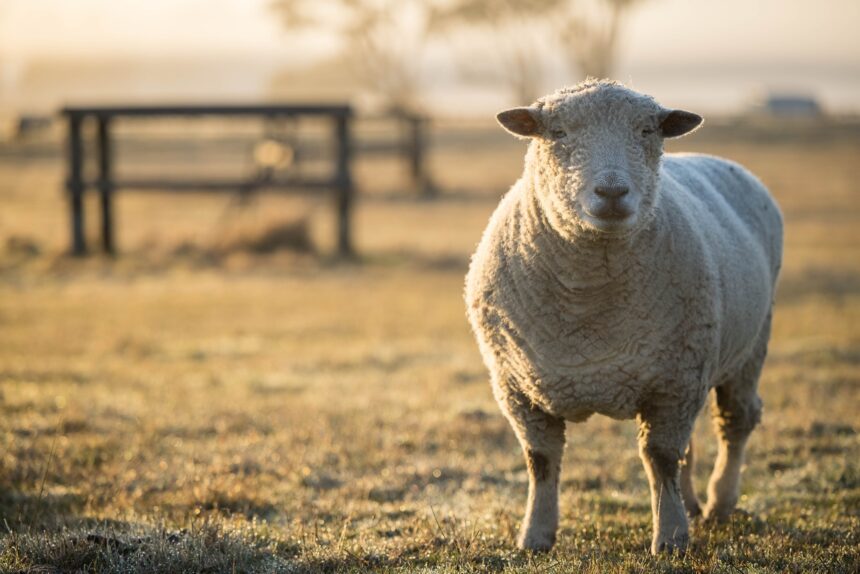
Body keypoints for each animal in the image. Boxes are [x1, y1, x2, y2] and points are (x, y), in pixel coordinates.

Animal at [464, 79, 783, 555]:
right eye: (557, 132)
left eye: (648, 130)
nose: (612, 192)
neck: (588, 307)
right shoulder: (518, 388)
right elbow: (541, 461)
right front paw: (535, 535)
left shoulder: (672, 382)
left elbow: (660, 458)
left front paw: (669, 538)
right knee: (694, 442)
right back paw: (692, 505)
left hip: (748, 346)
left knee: (736, 421)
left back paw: (719, 502)